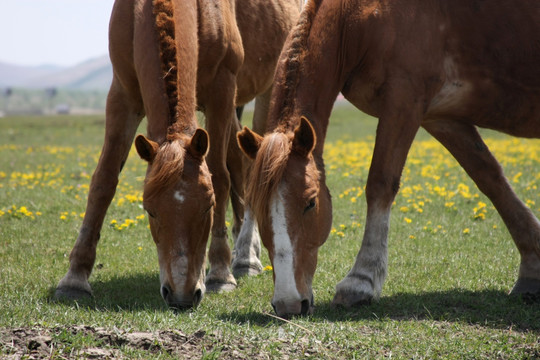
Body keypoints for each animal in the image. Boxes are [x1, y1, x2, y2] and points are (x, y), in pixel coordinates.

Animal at [55, 0, 302, 310]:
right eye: (150, 210)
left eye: (208, 207)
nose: (181, 295)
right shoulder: (122, 94)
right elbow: (104, 181)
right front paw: (75, 277)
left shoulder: (222, 90)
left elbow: (219, 177)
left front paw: (220, 273)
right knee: (237, 160)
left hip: (266, 91)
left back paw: (246, 254)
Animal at [238, 0, 540, 316]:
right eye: (257, 208)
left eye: (310, 203)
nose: (289, 303)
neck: (360, 17)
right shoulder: (439, 116)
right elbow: (490, 179)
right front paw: (532, 269)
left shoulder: (403, 100)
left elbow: (380, 183)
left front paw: (361, 280)